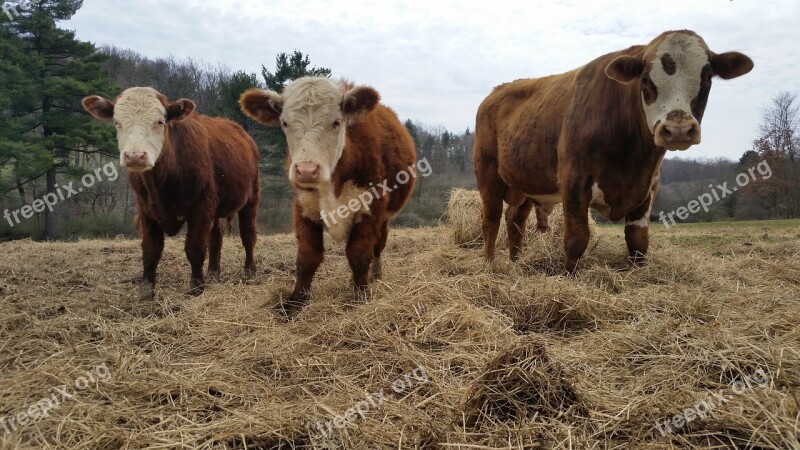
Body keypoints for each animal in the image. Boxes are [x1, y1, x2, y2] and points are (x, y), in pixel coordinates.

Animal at [80, 87, 260, 298]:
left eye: (160, 122)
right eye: (117, 122)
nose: (135, 156)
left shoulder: (201, 207)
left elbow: (195, 248)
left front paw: (196, 286)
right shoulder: (145, 209)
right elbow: (150, 251)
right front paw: (146, 290)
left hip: (251, 197)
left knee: (248, 234)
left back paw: (249, 270)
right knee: (216, 237)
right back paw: (214, 272)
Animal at [239, 76, 416, 316]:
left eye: (336, 122)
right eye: (284, 123)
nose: (306, 170)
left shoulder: (371, 208)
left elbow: (359, 254)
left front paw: (360, 296)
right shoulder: (304, 208)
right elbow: (307, 258)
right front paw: (296, 303)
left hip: (384, 218)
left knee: (378, 245)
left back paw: (374, 275)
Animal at [472, 31, 752, 272]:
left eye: (707, 77)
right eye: (646, 79)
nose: (679, 129)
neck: (633, 158)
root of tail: (495, 92)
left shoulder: (648, 186)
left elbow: (638, 241)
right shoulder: (574, 180)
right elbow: (577, 238)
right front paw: (569, 277)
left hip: (527, 183)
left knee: (515, 220)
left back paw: (516, 263)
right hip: (488, 173)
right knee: (491, 218)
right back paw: (489, 265)